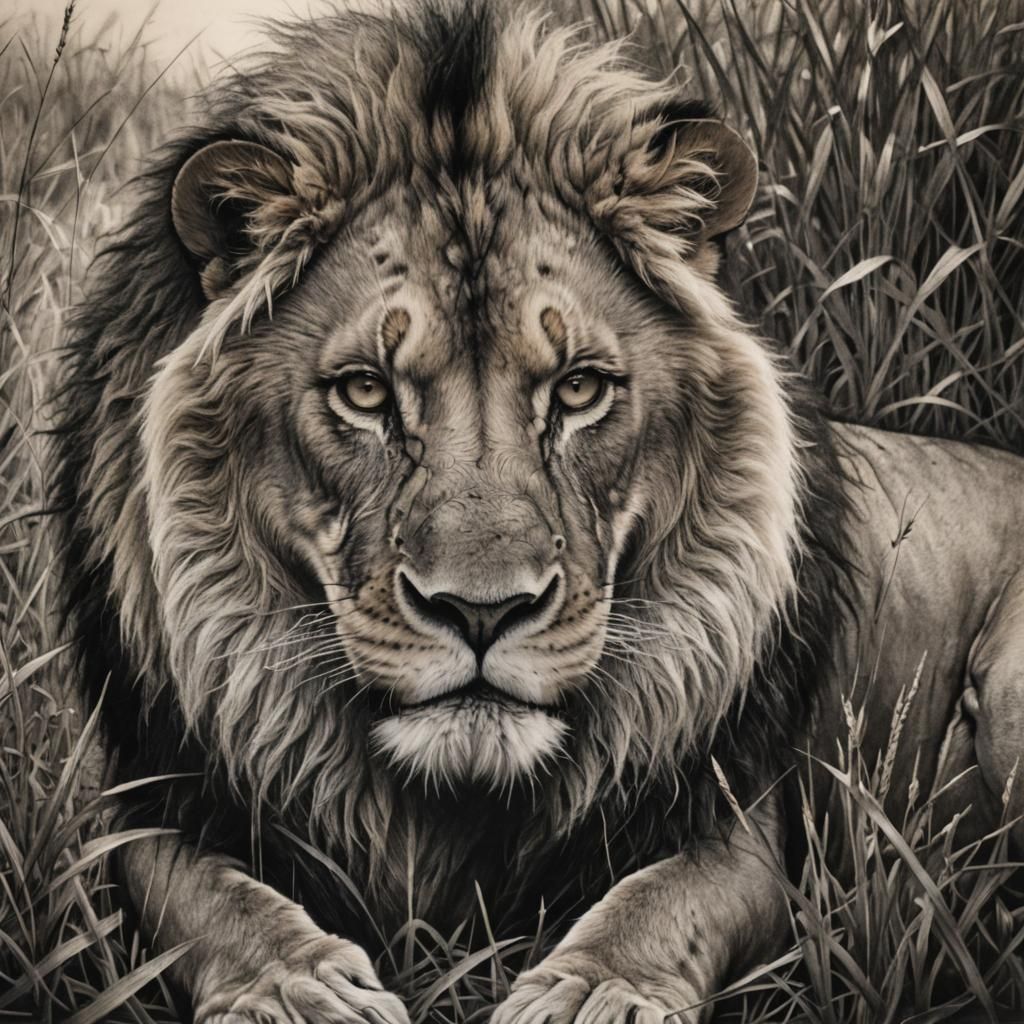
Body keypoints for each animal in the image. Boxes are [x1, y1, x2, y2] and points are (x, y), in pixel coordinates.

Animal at [52, 2, 1024, 1022]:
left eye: (579, 388)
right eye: (365, 391)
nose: (482, 613)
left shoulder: (738, 823)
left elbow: (661, 901)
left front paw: (596, 991)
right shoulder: (154, 801)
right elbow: (211, 899)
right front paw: (295, 989)